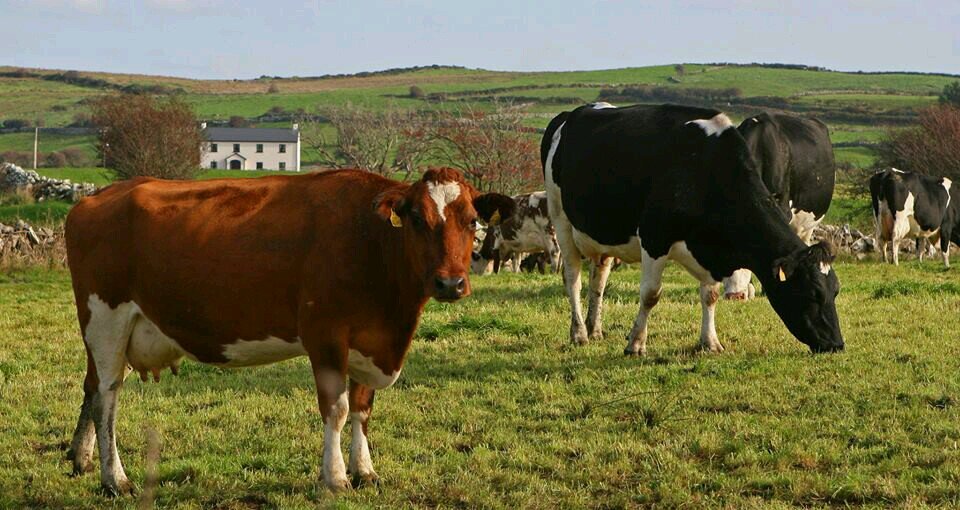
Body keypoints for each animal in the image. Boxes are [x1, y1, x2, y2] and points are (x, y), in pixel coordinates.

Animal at [64, 168, 514, 495]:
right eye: (418, 219)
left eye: (471, 221)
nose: (450, 284)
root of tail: (97, 196)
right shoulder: (325, 334)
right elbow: (337, 407)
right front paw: (335, 478)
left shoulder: (369, 341)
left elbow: (363, 408)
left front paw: (365, 471)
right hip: (106, 318)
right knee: (107, 397)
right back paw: (115, 479)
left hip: (115, 330)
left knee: (92, 387)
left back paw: (80, 458)